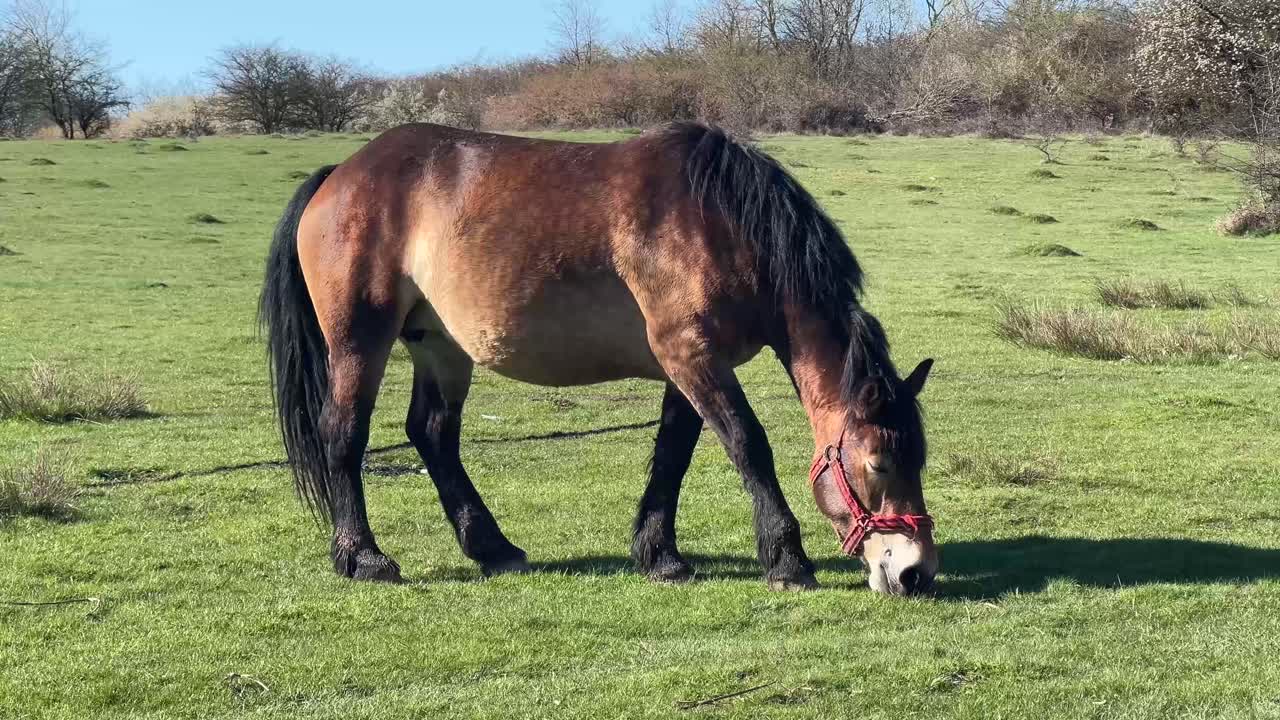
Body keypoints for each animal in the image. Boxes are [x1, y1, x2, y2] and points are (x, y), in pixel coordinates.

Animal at [259, 122, 937, 596]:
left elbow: (673, 453)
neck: (715, 221)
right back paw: (363, 556)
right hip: (359, 341)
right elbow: (747, 443)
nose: (915, 571)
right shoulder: (691, 354)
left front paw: (660, 555)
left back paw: (492, 547)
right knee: (343, 435)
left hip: (441, 346)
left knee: (432, 434)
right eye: (878, 463)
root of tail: (343, 173)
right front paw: (786, 558)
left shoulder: (685, 364)